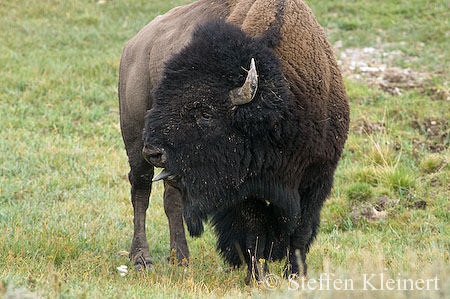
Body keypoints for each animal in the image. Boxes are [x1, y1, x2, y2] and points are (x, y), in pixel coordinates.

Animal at [118, 0, 350, 284]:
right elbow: (256, 229)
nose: (154, 151)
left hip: (173, 169)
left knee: (171, 199)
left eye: (205, 113)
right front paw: (257, 277)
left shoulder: (317, 177)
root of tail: (133, 45)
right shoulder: (247, 188)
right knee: (141, 193)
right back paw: (142, 260)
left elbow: (301, 229)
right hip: (133, 141)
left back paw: (181, 259)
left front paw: (296, 275)